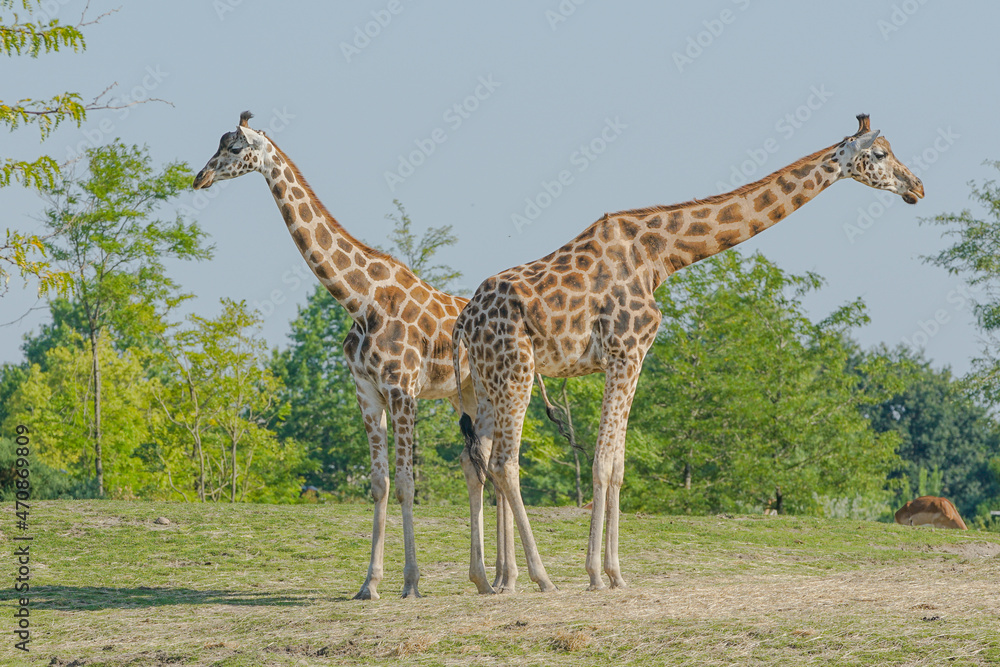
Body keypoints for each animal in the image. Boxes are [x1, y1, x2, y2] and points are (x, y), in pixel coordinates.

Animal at [454, 115, 920, 596]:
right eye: (880, 154)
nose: (917, 187)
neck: (661, 255)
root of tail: (465, 320)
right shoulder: (626, 353)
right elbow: (603, 463)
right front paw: (597, 575)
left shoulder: (629, 359)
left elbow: (618, 465)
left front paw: (616, 573)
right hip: (517, 371)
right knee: (505, 463)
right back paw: (540, 577)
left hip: (487, 381)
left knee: (477, 461)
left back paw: (493, 579)